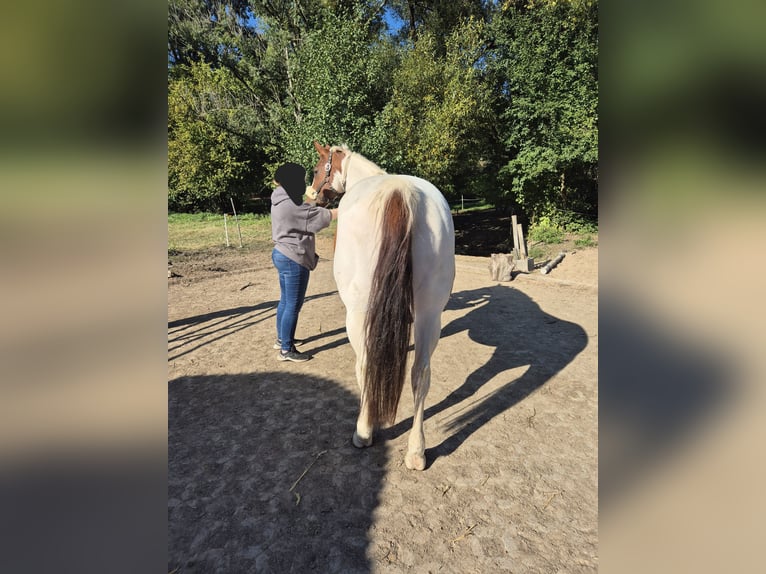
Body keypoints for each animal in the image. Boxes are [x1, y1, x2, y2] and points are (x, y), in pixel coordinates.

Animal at [309, 141, 455, 470]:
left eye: (317, 168)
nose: (314, 197)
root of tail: (400, 192)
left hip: (358, 312)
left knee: (365, 365)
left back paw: (363, 431)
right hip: (430, 314)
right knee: (420, 374)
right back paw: (417, 451)